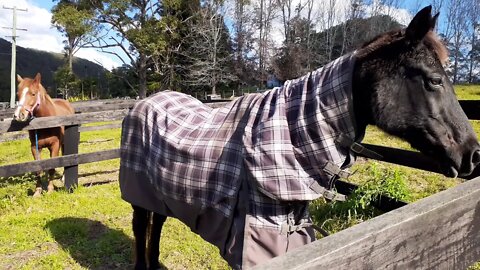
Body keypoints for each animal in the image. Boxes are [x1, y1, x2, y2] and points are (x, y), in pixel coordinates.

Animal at [122, 6, 480, 270]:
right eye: (434, 80)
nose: (473, 153)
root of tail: (144, 102)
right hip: (139, 196)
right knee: (142, 228)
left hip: (161, 196)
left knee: (158, 225)